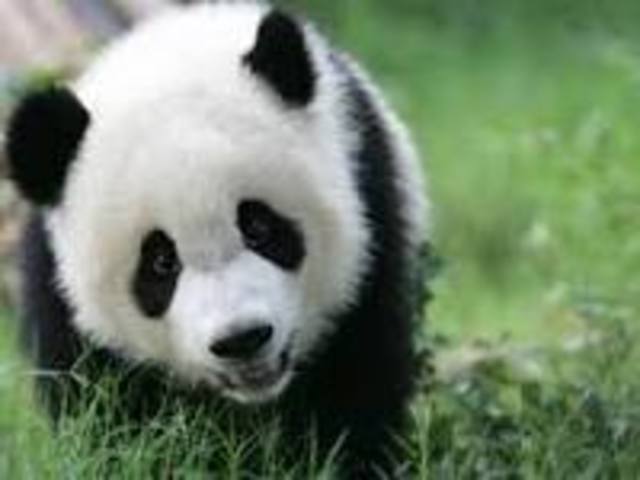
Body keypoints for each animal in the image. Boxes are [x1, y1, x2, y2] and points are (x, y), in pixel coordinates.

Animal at [5, 1, 429, 477]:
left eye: (258, 227)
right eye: (161, 262)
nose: (242, 339)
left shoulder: (372, 227)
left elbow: (354, 389)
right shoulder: (64, 304)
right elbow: (110, 413)